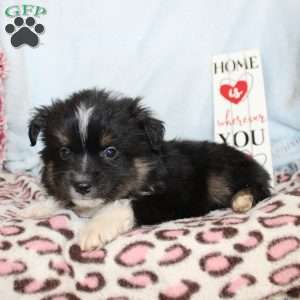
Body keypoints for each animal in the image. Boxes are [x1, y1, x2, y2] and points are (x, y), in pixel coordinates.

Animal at [27, 88, 270, 250]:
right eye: (64, 152)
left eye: (110, 152)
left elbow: (127, 203)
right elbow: (62, 197)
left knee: (260, 188)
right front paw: (37, 207)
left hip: (223, 173)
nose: (82, 185)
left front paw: (94, 230)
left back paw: (242, 200)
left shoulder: (177, 196)